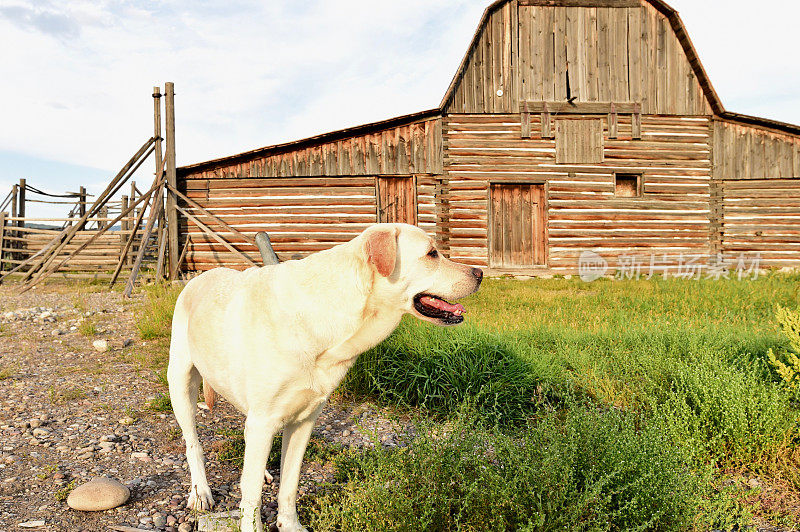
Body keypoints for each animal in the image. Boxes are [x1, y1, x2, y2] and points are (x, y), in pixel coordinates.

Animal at [167, 223, 482, 532]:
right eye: (432, 253)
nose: (479, 273)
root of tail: (201, 276)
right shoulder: (264, 419)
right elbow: (251, 494)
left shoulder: (303, 420)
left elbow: (289, 485)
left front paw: (289, 523)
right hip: (181, 384)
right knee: (193, 444)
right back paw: (200, 492)